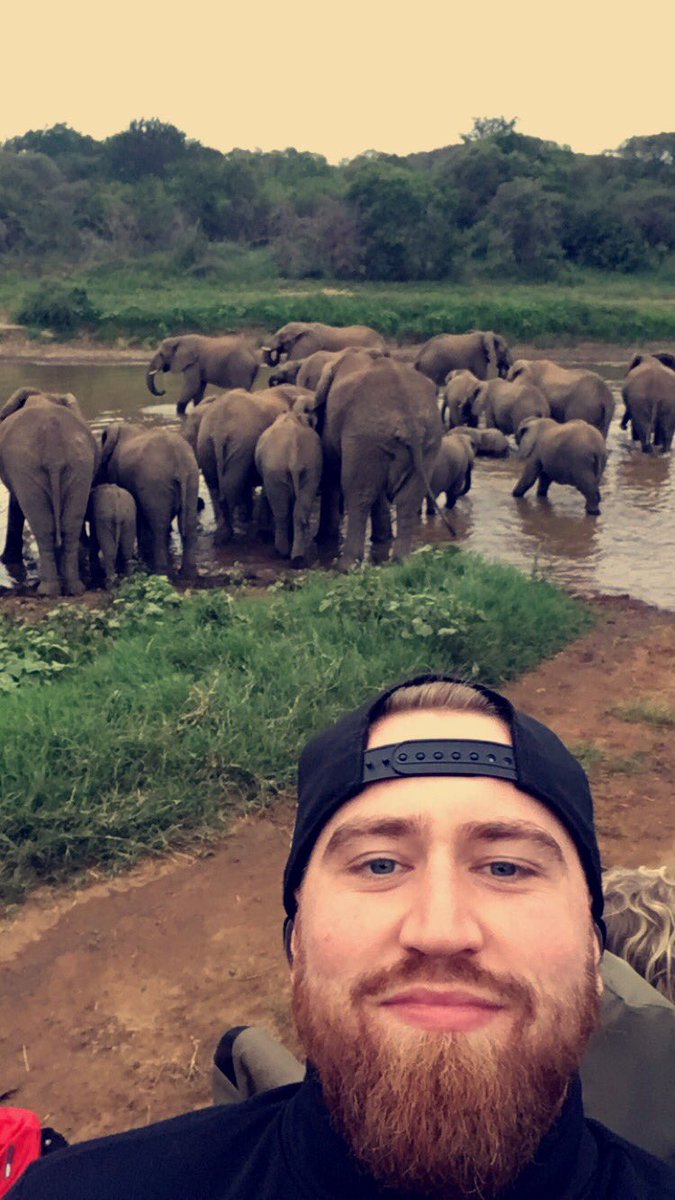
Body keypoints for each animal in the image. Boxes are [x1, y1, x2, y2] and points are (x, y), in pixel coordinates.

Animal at [0, 388, 97, 596]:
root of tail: (54, 452)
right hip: (80, 464)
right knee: (70, 525)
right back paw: (74, 589)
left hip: (27, 467)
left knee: (43, 527)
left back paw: (47, 591)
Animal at [98, 423, 199, 577]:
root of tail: (179, 462)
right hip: (192, 479)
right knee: (188, 523)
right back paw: (188, 573)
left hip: (155, 484)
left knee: (159, 526)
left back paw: (160, 571)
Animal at [196, 390, 291, 544]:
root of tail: (219, 429)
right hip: (241, 444)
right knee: (232, 486)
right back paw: (227, 536)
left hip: (206, 444)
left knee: (217, 486)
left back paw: (221, 537)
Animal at [254, 404, 323, 566]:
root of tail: (294, 455)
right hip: (311, 468)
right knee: (301, 509)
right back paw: (297, 558)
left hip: (275, 468)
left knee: (281, 512)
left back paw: (281, 552)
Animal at [310, 350, 443, 567]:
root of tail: (410, 422)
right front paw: (382, 539)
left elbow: (332, 468)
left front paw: (323, 539)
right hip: (428, 441)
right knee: (409, 498)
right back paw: (402, 561)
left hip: (365, 435)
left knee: (359, 493)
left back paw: (346, 565)